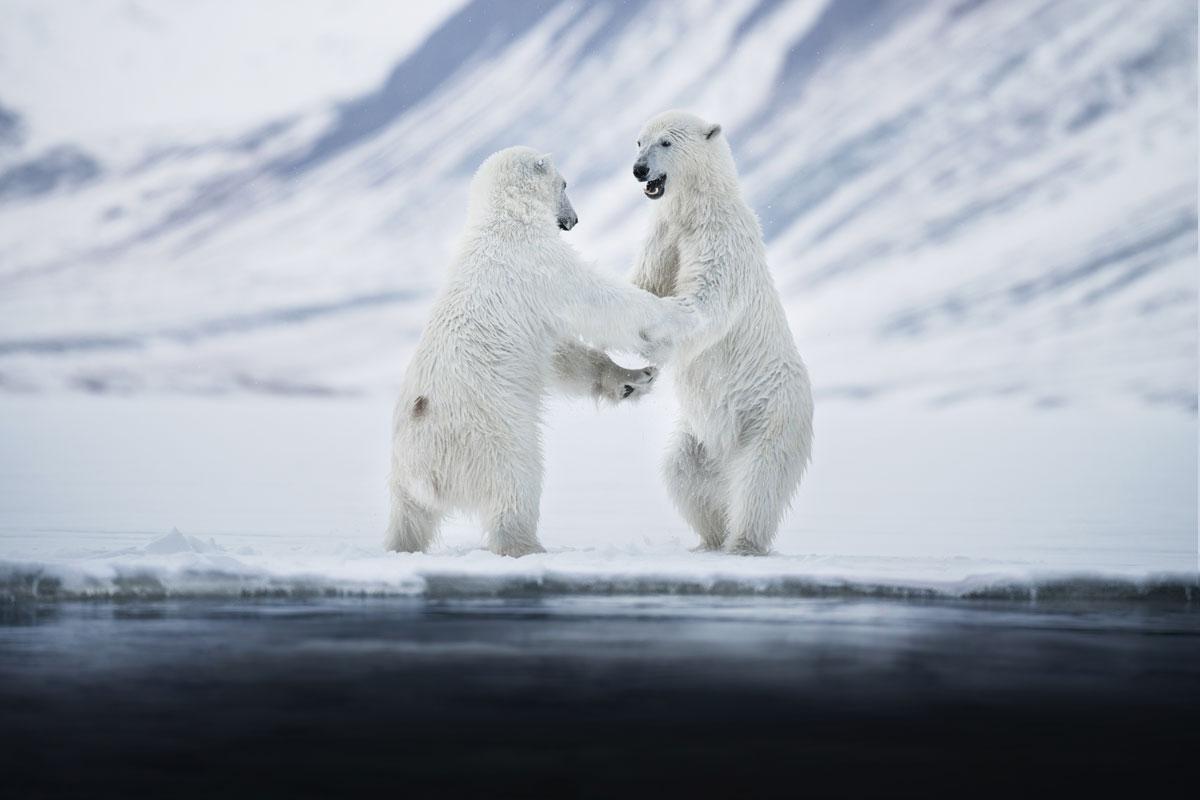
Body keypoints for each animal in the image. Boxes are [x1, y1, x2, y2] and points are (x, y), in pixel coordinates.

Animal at [386, 146, 685, 557]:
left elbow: (560, 356)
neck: (503, 220)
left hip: (403, 478)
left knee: (408, 520)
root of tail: (424, 473)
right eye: (565, 184)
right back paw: (528, 546)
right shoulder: (540, 265)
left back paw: (400, 546)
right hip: (492, 439)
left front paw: (632, 380)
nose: (573, 220)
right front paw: (673, 315)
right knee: (517, 485)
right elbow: (597, 302)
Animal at [630, 110, 814, 555]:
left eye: (665, 142)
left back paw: (742, 542)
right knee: (682, 472)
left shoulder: (720, 240)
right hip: (698, 436)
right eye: (639, 141)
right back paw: (709, 539)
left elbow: (706, 302)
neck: (697, 210)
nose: (639, 170)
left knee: (759, 479)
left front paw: (655, 336)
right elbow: (648, 279)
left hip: (769, 415)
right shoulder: (665, 234)